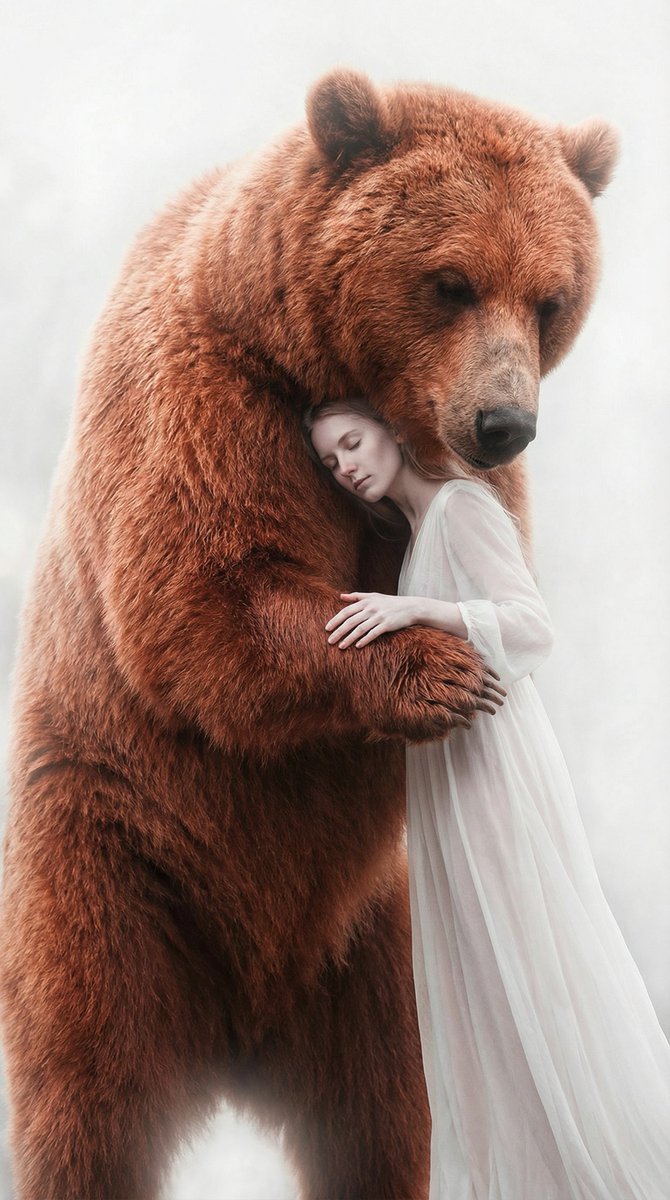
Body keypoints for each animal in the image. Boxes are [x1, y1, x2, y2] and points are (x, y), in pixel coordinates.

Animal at [0, 68, 617, 1200]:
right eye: (451, 281)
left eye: (552, 297)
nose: (504, 422)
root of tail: (243, 1032)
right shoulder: (207, 402)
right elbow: (204, 600)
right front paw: (432, 670)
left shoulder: (475, 489)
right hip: (109, 864)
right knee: (89, 1093)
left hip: (378, 942)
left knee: (388, 1118)